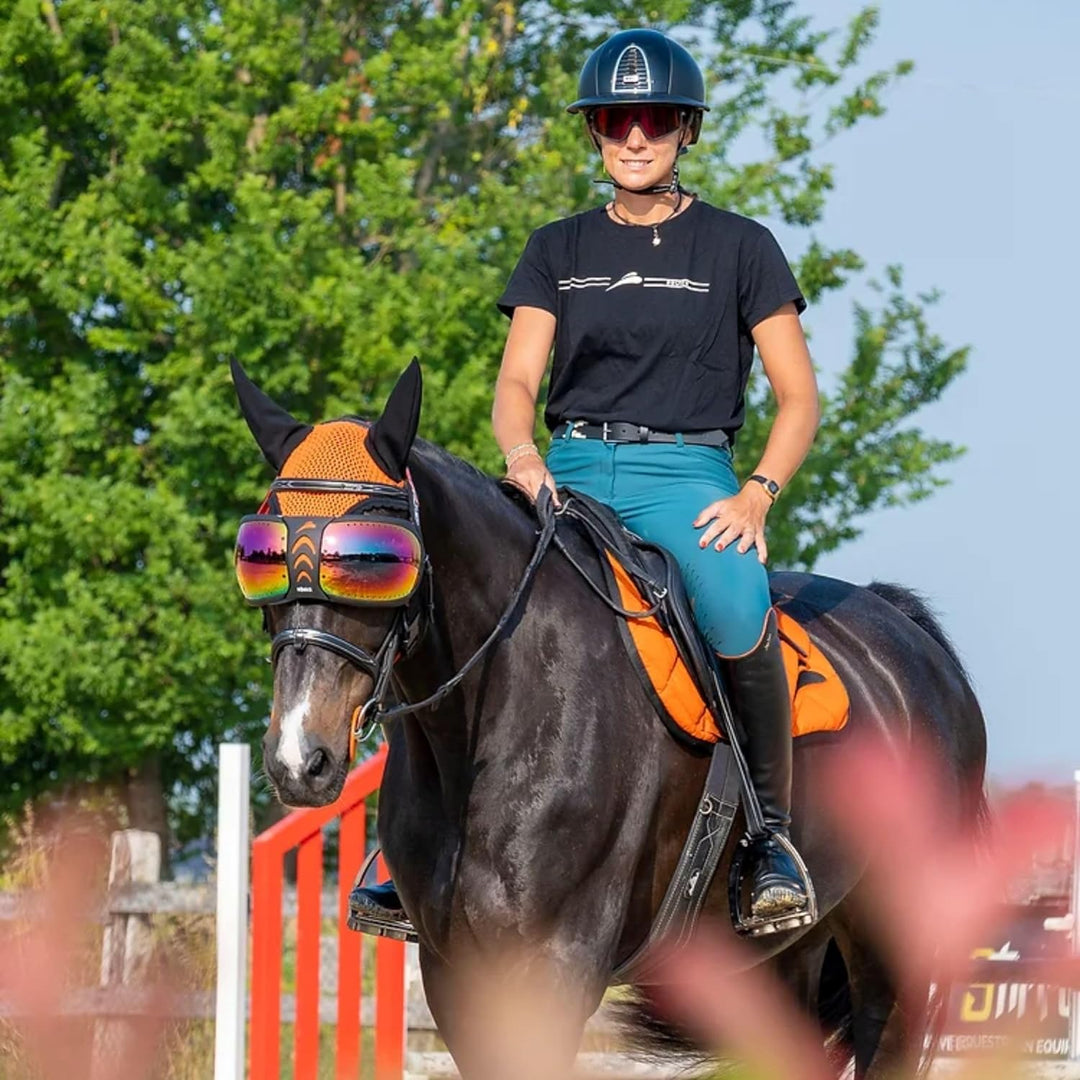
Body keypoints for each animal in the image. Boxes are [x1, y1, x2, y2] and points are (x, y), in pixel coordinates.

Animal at [233, 359, 987, 1079]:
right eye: (259, 553)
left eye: (372, 558)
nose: (300, 758)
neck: (492, 716)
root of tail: (913, 643)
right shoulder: (455, 976)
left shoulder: (554, 966)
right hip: (786, 958)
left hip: (894, 956)